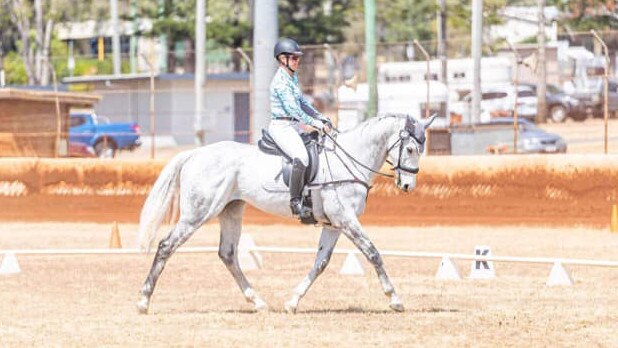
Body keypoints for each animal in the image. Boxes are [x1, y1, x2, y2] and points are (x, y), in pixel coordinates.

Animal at [136, 113, 434, 312]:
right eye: (410, 148)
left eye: (421, 149)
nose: (408, 186)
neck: (348, 159)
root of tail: (195, 154)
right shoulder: (346, 220)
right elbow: (373, 253)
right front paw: (395, 299)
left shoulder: (334, 225)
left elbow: (321, 263)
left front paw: (292, 301)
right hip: (198, 213)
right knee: (166, 246)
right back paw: (143, 300)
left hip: (231, 211)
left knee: (228, 254)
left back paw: (257, 302)